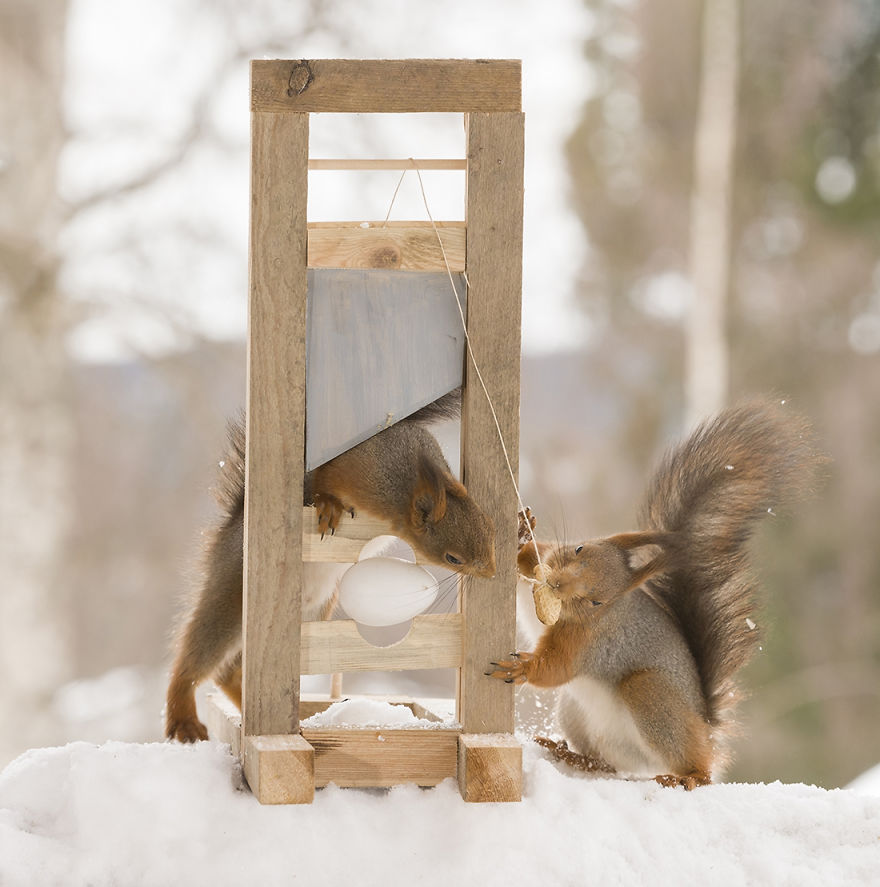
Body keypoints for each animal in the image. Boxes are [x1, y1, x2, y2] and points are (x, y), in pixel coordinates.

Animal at [166, 392, 496, 743]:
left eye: (490, 528)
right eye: (453, 558)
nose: (491, 572)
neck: (401, 482)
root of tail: (230, 528)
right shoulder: (345, 466)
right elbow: (322, 482)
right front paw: (328, 504)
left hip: (306, 616)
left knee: (232, 671)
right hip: (232, 597)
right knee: (195, 662)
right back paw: (184, 718)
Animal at [489, 398, 823, 789]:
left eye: (596, 601)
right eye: (579, 548)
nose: (557, 584)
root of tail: (706, 731)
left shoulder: (587, 641)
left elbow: (554, 668)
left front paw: (521, 667)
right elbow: (528, 569)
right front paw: (520, 533)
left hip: (650, 694)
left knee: (696, 767)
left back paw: (685, 778)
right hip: (575, 713)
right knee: (604, 764)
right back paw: (571, 754)